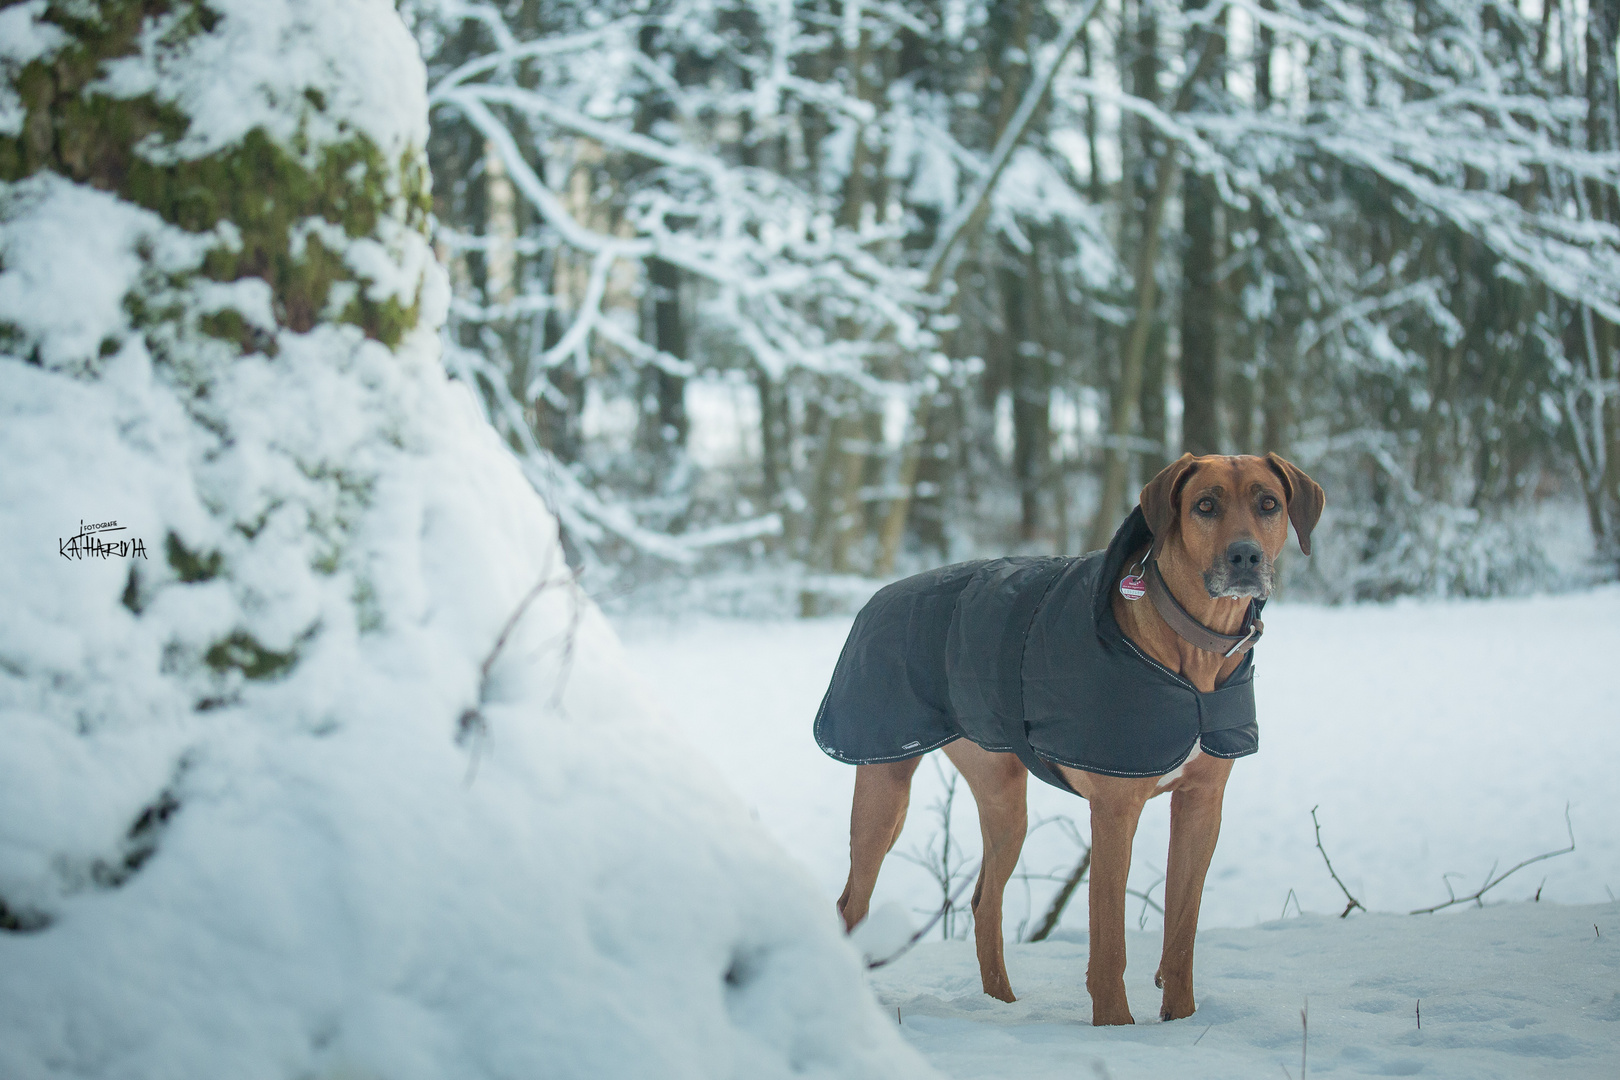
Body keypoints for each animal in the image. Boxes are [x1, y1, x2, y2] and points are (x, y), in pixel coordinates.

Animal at [816, 453, 1321, 1029]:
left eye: (1269, 504)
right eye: (1205, 505)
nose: (1245, 555)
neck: (1193, 650)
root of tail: (876, 597)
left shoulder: (1202, 804)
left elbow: (1181, 933)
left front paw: (1181, 1021)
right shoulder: (1115, 809)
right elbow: (1109, 939)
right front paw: (1116, 1026)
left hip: (1003, 798)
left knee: (985, 901)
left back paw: (1001, 1006)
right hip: (883, 788)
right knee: (852, 906)